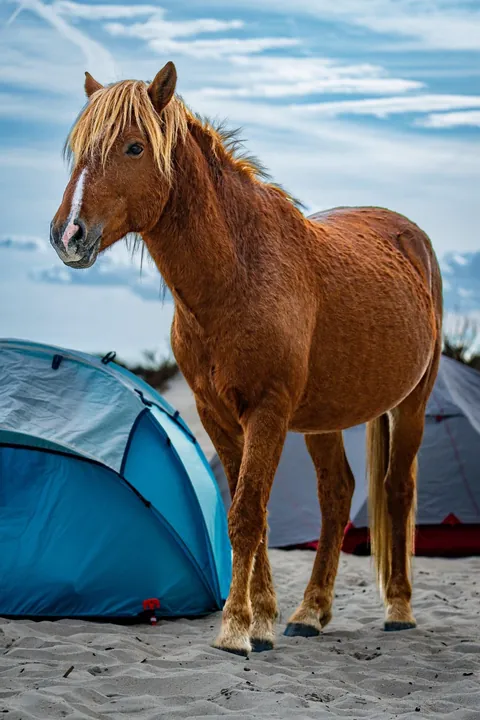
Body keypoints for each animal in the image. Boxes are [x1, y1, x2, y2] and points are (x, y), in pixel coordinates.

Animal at [50, 62, 443, 657]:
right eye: (78, 150)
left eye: (135, 147)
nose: (67, 235)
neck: (239, 274)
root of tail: (410, 236)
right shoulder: (218, 414)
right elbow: (248, 511)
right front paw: (262, 620)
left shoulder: (267, 410)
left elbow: (246, 515)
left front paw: (235, 628)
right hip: (323, 418)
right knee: (337, 496)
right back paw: (310, 612)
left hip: (411, 405)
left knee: (397, 491)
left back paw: (398, 609)